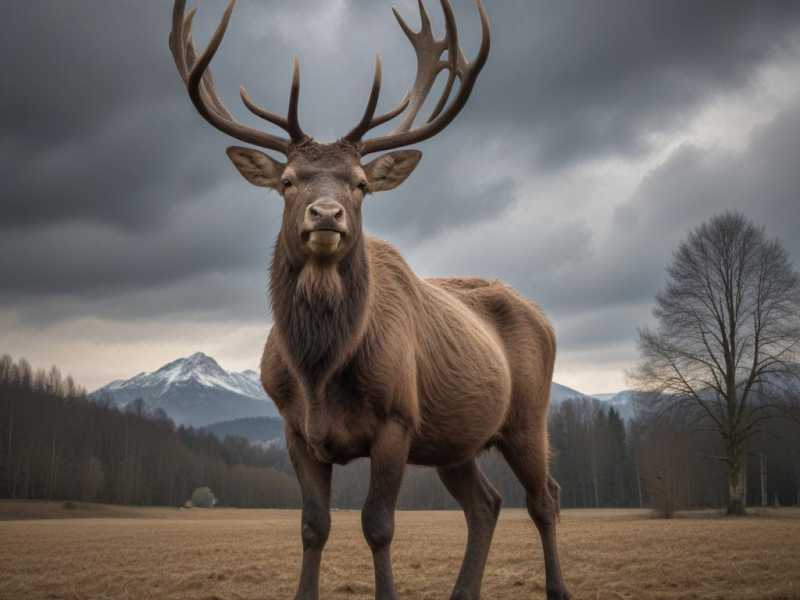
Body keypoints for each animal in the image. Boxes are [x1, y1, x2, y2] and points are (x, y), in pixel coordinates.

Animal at [170, 1, 568, 600]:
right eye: (288, 181)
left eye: (360, 183)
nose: (327, 214)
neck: (319, 370)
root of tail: (544, 318)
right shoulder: (295, 429)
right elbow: (314, 527)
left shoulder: (396, 419)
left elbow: (378, 526)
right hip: (454, 440)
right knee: (487, 504)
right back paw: (464, 590)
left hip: (527, 416)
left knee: (545, 498)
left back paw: (557, 587)